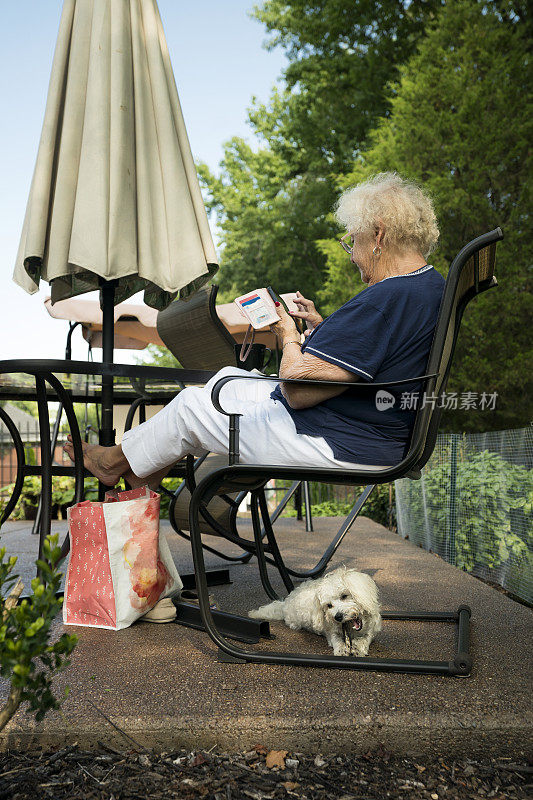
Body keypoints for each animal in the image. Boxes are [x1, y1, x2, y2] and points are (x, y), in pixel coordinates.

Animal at [248, 564, 378, 656]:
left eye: (344, 596)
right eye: (329, 605)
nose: (338, 617)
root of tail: (286, 601)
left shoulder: (371, 631)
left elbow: (365, 639)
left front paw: (358, 647)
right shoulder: (331, 632)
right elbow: (336, 639)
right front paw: (341, 649)